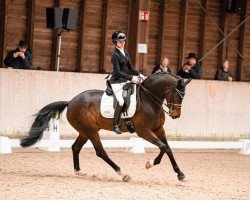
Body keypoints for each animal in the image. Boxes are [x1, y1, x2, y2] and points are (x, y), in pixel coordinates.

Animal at [20, 72, 191, 182]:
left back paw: (79, 171)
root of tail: (70, 102)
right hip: (91, 131)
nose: (176, 115)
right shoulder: (144, 132)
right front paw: (151, 164)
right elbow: (163, 147)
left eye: (184, 96)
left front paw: (179, 174)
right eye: (178, 94)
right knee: (100, 151)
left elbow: (167, 148)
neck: (149, 100)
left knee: (76, 147)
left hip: (85, 131)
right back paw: (122, 173)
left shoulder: (158, 130)